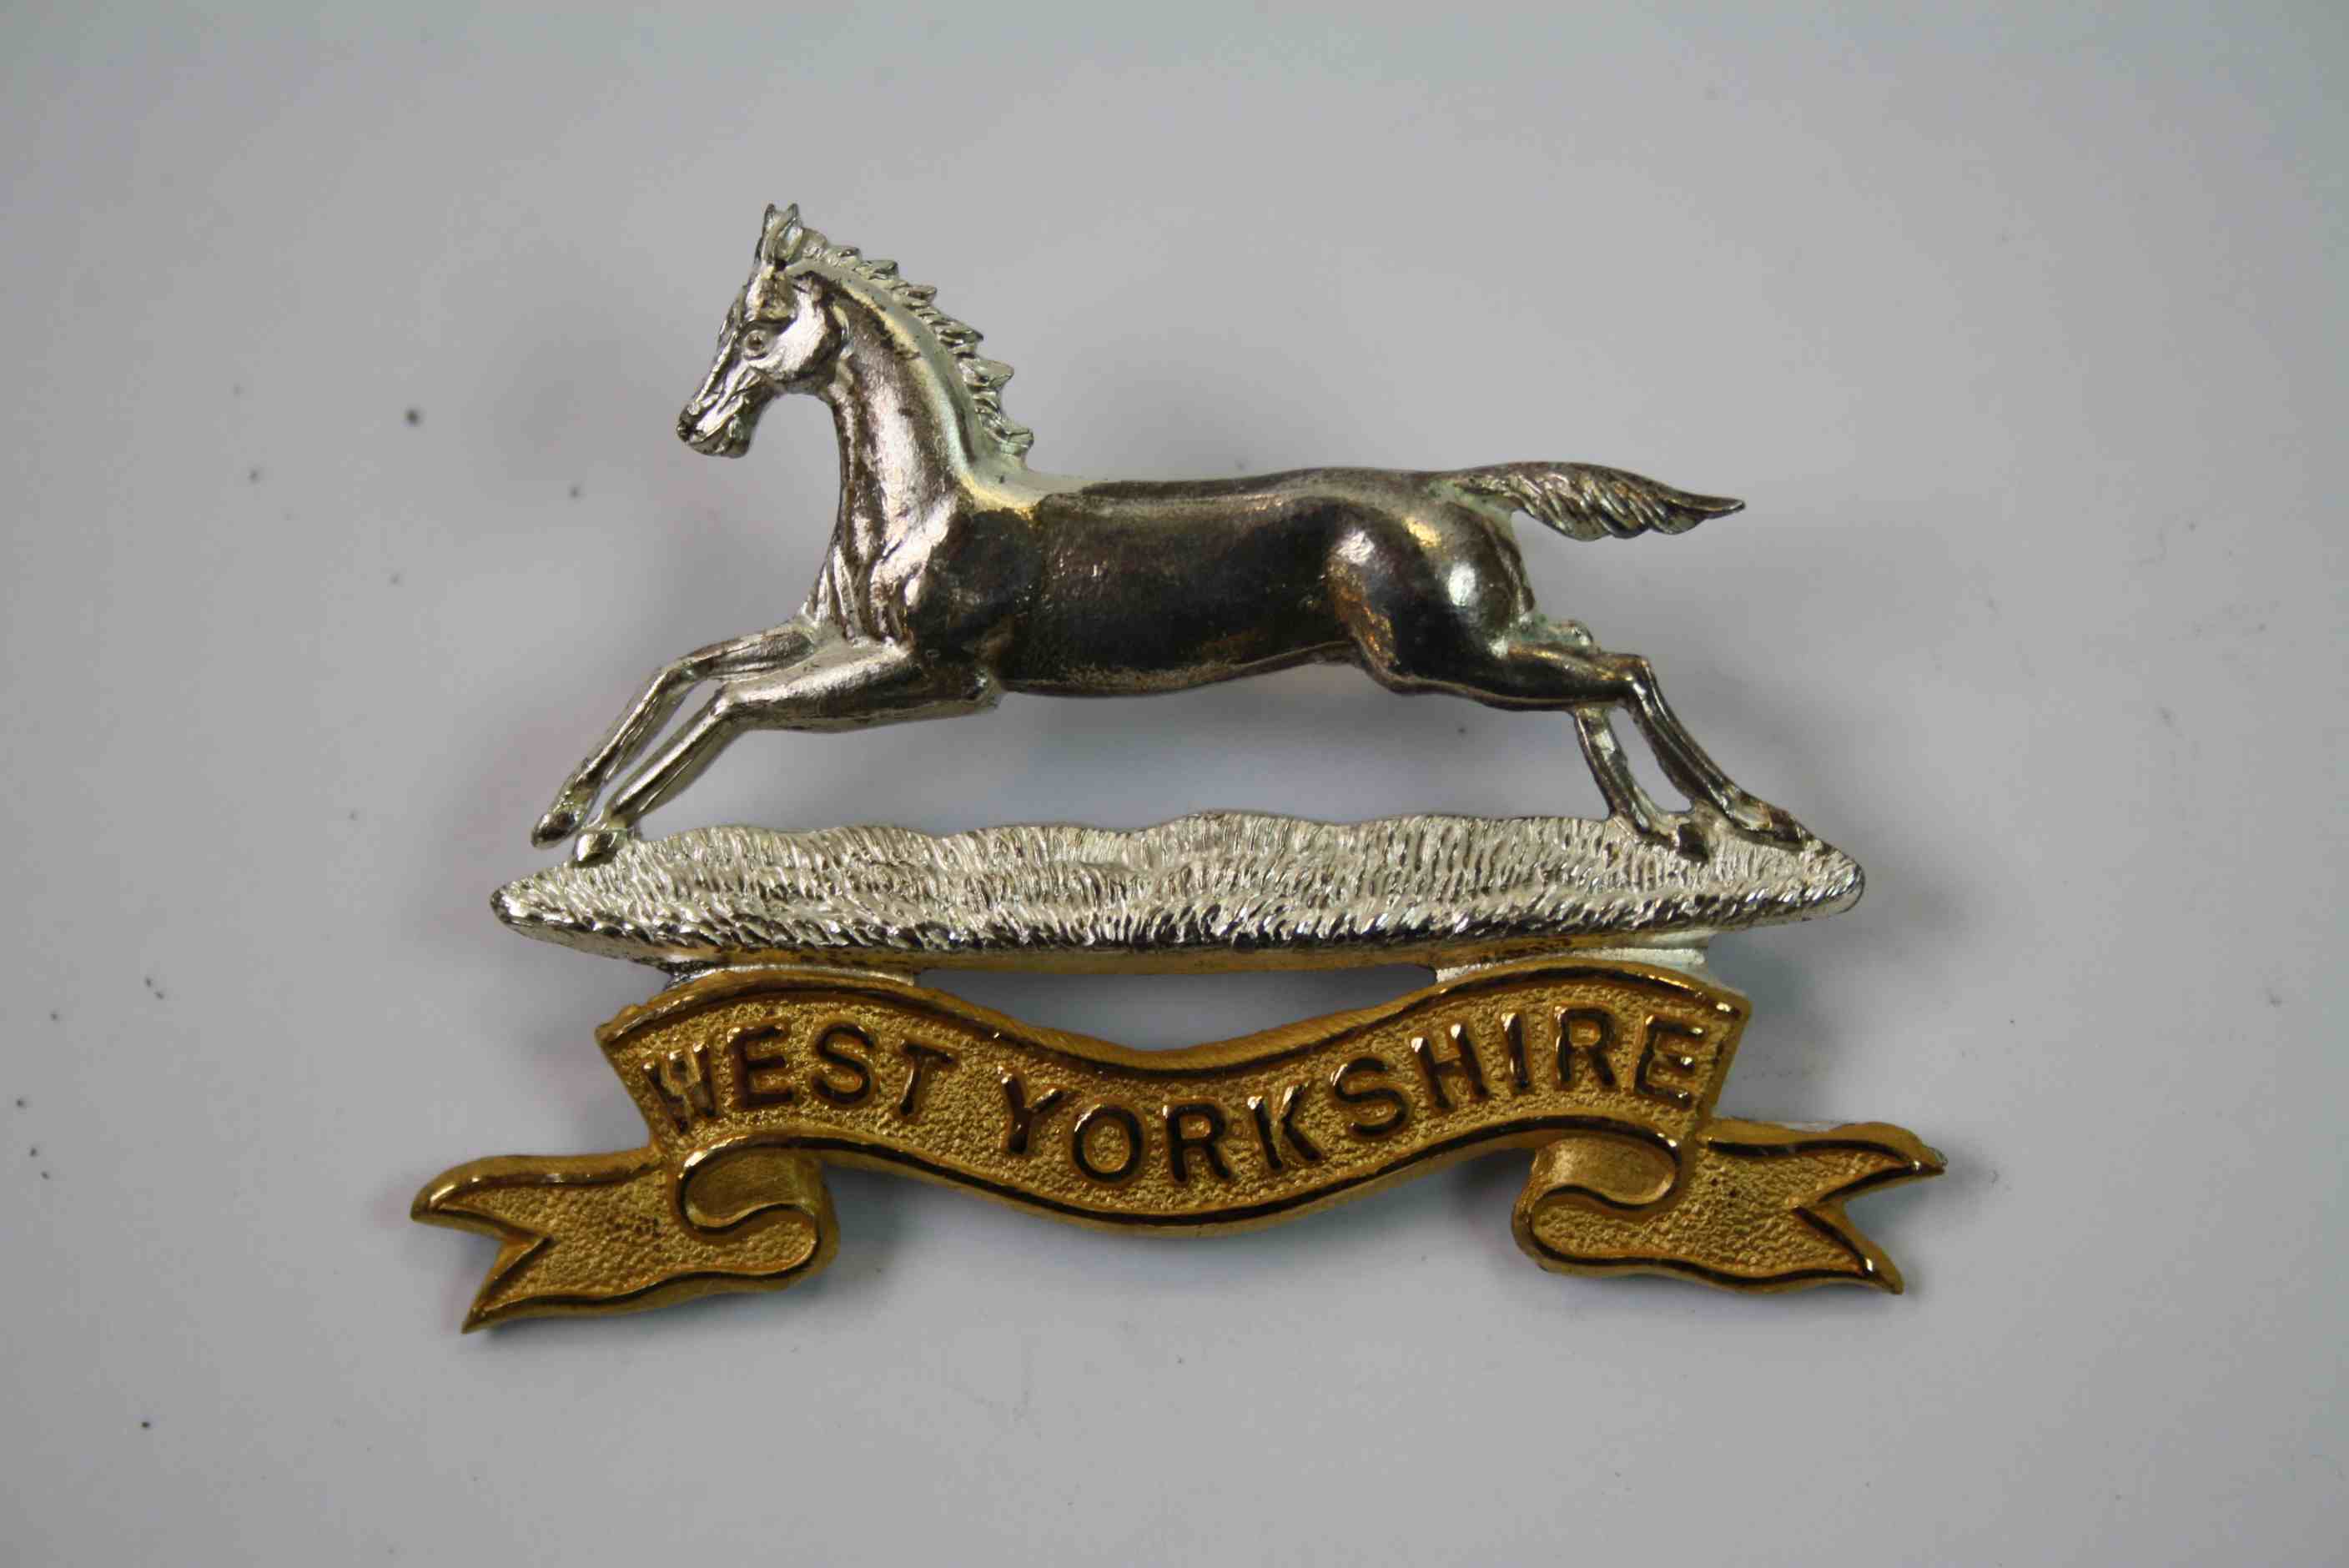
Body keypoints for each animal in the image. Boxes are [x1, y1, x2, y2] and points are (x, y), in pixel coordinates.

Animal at [537, 202, 1813, 863]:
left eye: (759, 326)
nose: (698, 428)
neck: (921, 508)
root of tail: (1460, 486)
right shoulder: (834, 639)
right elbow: (687, 667)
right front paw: (565, 808)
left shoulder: (935, 675)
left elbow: (730, 705)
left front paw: (607, 835)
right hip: (1478, 636)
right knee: (1598, 664)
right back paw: (1661, 830)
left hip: (1438, 654)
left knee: (1625, 669)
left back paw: (1751, 818)